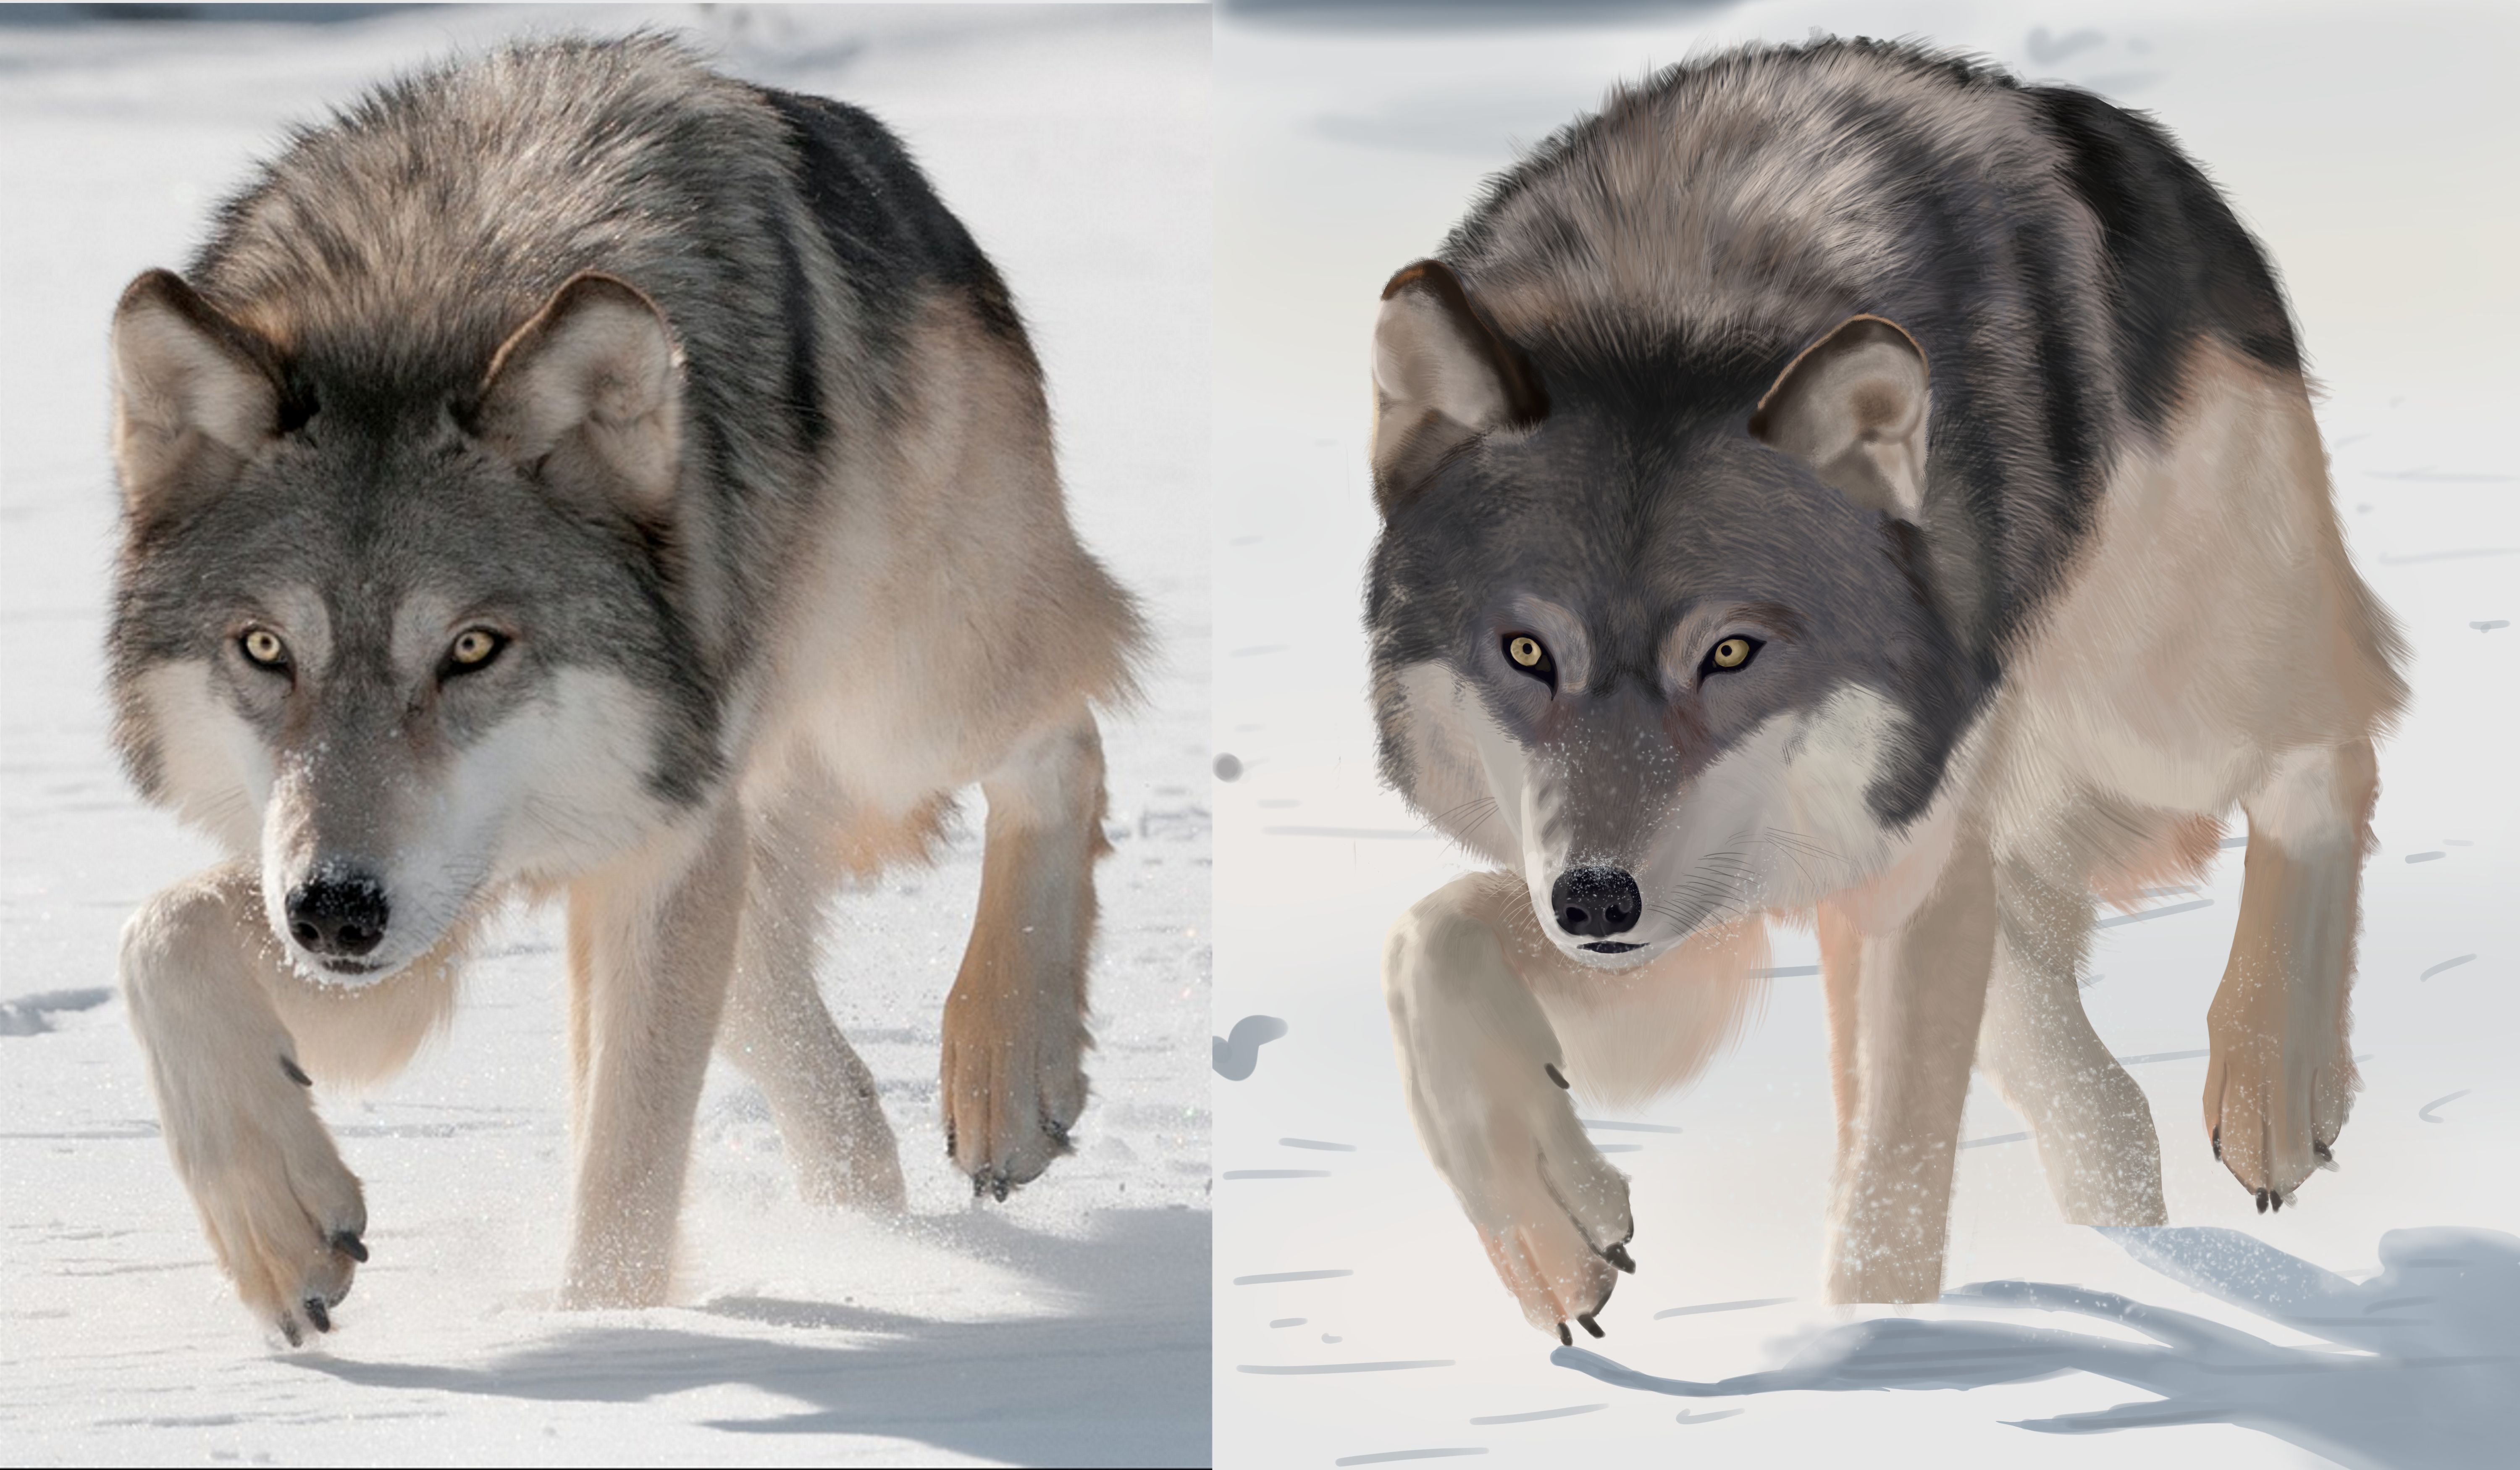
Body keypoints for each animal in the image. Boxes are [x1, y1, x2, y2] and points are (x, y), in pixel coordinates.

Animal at [106, 35, 1143, 1343]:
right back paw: (868, 1232)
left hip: (897, 707)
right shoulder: (415, 917)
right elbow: (161, 935)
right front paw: (280, 1231)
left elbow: (628, 1168)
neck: (424, 291)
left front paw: (605, 1339)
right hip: (713, 835)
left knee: (1066, 736)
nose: (336, 911)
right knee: (816, 1063)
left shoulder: (636, 855)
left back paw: (1005, 1080)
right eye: (262, 649)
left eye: (473, 649)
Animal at [1365, 38, 2405, 1339]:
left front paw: (1879, 1353)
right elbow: (1426, 941)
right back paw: (2135, 1261)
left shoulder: (1887, 882)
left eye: (1730, 652)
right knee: (2107, 1112)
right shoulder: (1712, 908)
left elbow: (1888, 1196)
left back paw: (2275, 1085)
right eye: (1525, 653)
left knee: (2333, 747)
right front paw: (1551, 1235)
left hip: (2152, 705)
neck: (1680, 292)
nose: (1595, 901)